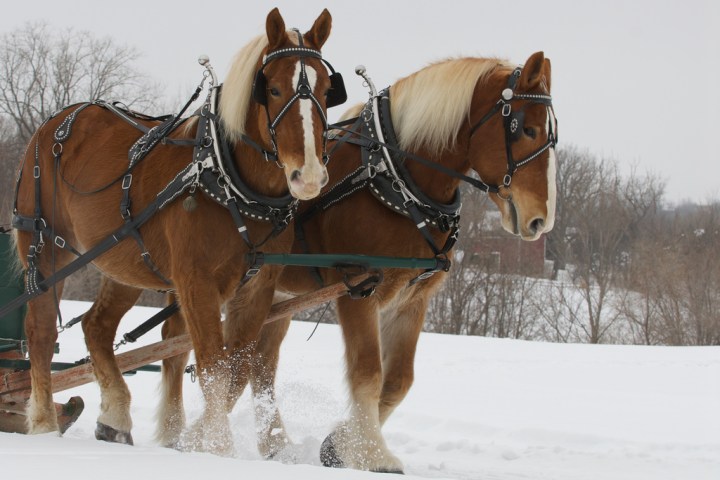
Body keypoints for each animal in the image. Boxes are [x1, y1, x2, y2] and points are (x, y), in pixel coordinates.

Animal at [11, 7, 338, 454]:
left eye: (326, 89)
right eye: (270, 89)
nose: (308, 175)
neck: (228, 180)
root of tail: (53, 124)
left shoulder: (259, 286)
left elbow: (237, 367)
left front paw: (190, 440)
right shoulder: (196, 281)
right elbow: (214, 367)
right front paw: (215, 447)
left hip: (124, 259)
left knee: (96, 327)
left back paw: (115, 418)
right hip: (45, 246)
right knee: (41, 330)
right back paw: (43, 424)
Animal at [208, 50, 556, 470]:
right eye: (525, 129)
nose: (541, 219)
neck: (395, 180)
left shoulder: (413, 299)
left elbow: (399, 380)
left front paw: (340, 445)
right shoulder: (358, 289)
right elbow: (368, 373)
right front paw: (373, 454)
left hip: (276, 295)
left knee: (260, 365)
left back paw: (273, 445)